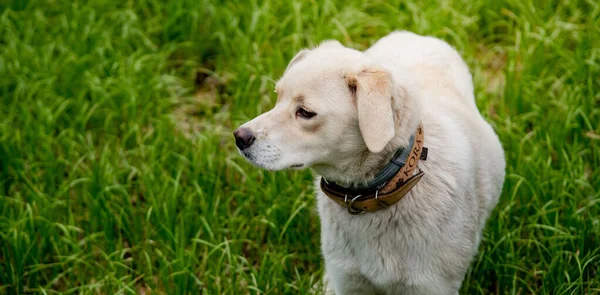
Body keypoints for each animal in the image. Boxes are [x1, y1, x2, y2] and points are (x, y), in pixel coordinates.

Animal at [234, 31, 506, 294]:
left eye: (306, 112)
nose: (239, 137)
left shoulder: (433, 286)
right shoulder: (349, 281)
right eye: (277, 97)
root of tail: (418, 36)